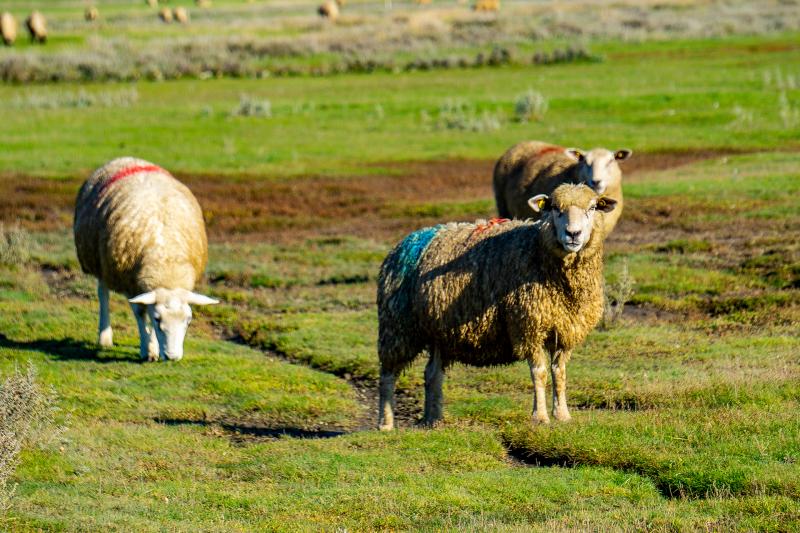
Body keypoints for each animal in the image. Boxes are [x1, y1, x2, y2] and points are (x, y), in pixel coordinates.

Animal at [73, 157, 218, 362]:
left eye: (188, 320)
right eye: (158, 319)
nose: (172, 357)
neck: (166, 262)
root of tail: (125, 158)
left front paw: (153, 346)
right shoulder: (129, 281)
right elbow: (141, 313)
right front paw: (148, 348)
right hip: (101, 262)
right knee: (103, 294)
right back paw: (105, 337)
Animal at [377, 183, 617, 430]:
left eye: (592, 208)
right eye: (554, 208)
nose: (573, 234)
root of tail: (409, 241)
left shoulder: (566, 329)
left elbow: (559, 373)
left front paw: (562, 414)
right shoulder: (528, 325)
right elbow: (539, 373)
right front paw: (540, 416)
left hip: (438, 331)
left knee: (432, 373)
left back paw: (432, 419)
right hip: (397, 325)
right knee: (387, 375)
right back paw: (386, 423)